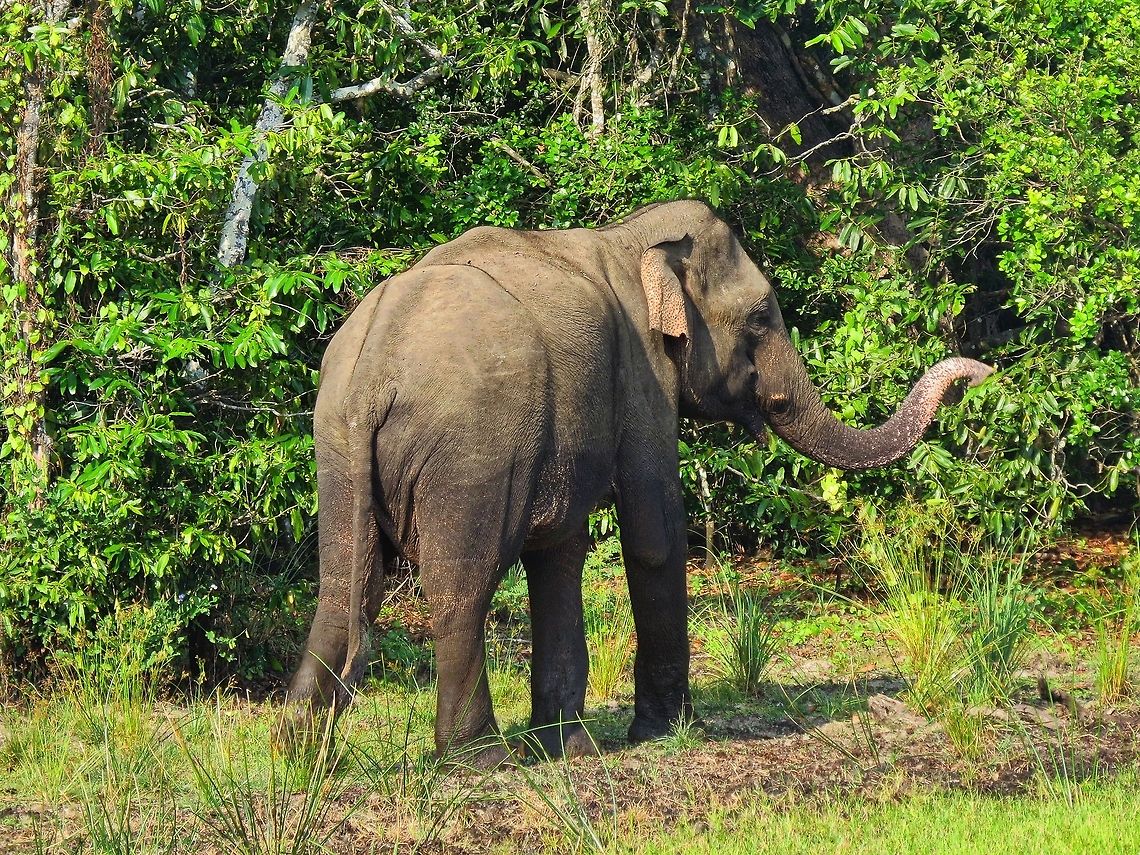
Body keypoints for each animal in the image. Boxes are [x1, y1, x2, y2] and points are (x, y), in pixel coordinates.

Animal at [280, 199, 992, 764]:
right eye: (761, 318)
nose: (979, 373)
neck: (631, 239)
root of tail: (374, 363)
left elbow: (561, 549)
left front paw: (570, 748)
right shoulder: (644, 377)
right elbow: (653, 532)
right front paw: (664, 731)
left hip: (334, 443)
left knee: (343, 583)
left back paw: (301, 757)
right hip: (471, 451)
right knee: (462, 589)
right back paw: (477, 759)